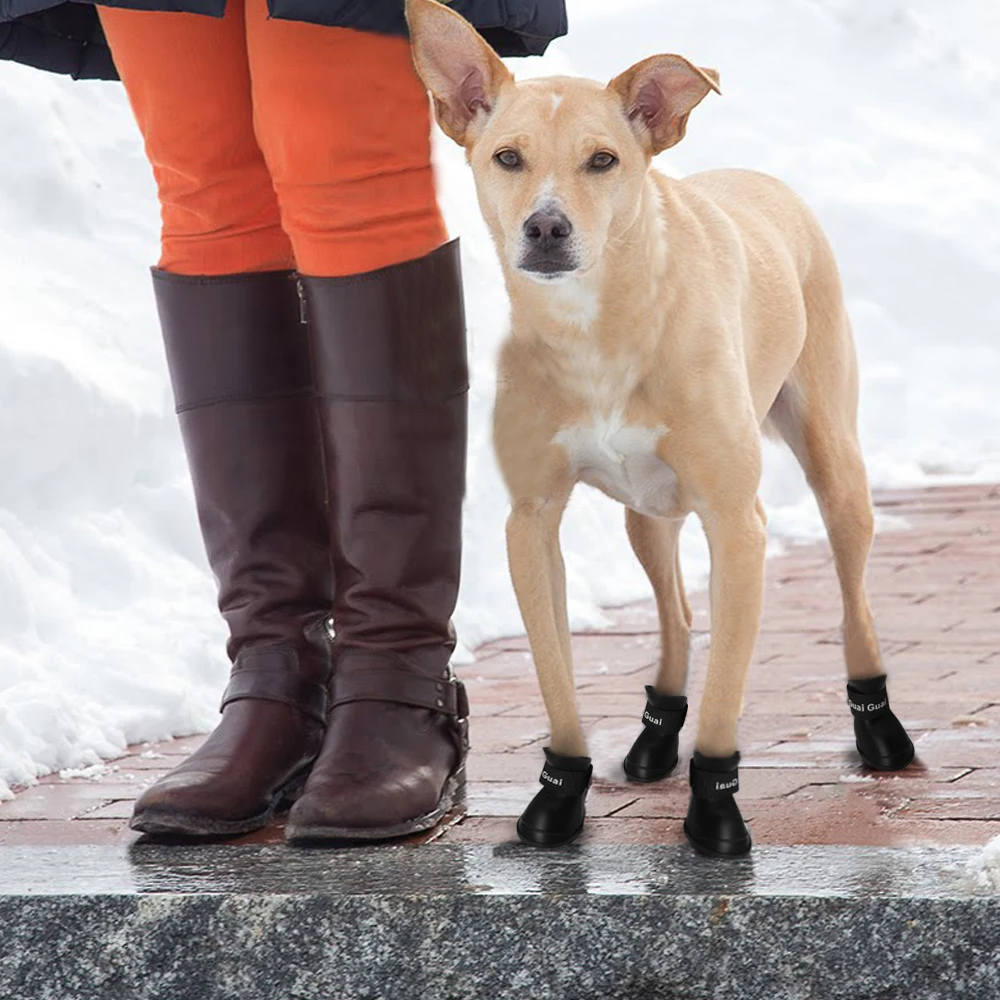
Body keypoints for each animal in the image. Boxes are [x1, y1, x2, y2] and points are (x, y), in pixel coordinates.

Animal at [406, 0, 916, 856]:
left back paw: (879, 728)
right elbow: (556, 677)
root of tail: (760, 177)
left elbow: (727, 692)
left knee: (855, 600)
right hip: (648, 513)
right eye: (508, 156)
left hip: (834, 465)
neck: (597, 329)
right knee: (675, 612)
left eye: (602, 160)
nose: (546, 228)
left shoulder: (737, 522)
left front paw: (715, 808)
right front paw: (560, 796)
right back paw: (655, 729)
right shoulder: (530, 523)